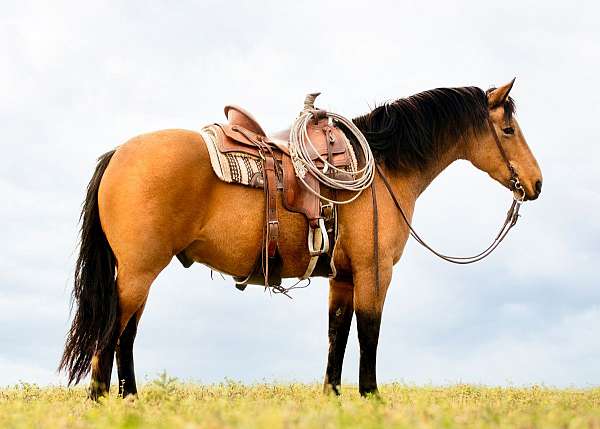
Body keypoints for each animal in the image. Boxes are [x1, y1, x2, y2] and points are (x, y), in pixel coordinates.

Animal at [61, 79, 544, 398]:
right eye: (507, 130)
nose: (536, 183)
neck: (385, 167)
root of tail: (119, 153)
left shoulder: (343, 277)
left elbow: (337, 335)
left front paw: (334, 397)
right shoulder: (374, 271)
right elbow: (369, 332)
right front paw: (371, 397)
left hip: (141, 274)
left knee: (126, 333)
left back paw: (131, 398)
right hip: (139, 271)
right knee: (112, 331)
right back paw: (102, 398)